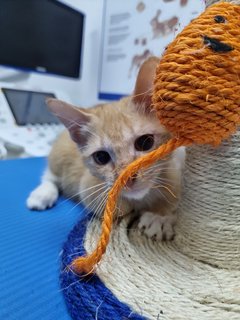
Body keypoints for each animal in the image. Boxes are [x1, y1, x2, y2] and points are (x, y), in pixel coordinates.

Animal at [27, 57, 186, 241]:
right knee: (50, 175)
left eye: (145, 142)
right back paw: (42, 194)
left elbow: (176, 196)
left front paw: (160, 216)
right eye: (101, 157)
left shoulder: (178, 163)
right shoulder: (87, 186)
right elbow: (114, 206)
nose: (127, 179)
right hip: (59, 156)